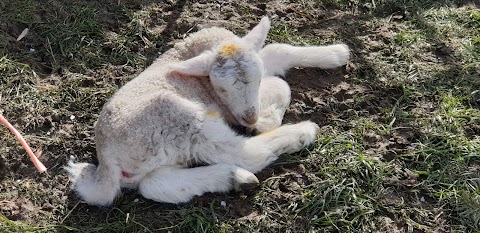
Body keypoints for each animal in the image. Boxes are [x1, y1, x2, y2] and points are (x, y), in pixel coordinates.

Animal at [65, 16, 348, 206]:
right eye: (221, 89)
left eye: (255, 80)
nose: (250, 118)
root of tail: (107, 159)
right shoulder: (227, 110)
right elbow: (281, 84)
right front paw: (266, 122)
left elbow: (277, 51)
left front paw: (336, 53)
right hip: (180, 120)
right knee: (242, 153)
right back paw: (301, 133)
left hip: (157, 160)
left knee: (155, 185)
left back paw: (234, 178)